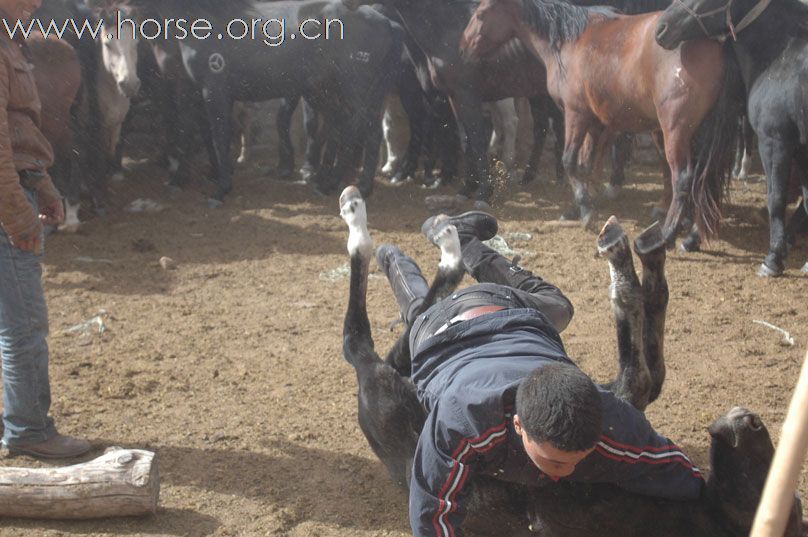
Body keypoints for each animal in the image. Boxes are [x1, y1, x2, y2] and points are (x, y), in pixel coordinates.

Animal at [334, 185, 800, 536]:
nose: (749, 421)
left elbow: (642, 371)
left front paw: (627, 265)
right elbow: (648, 363)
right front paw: (637, 260)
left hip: (393, 385)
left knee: (365, 336)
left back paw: (401, 234)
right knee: (399, 314)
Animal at [458, 0, 740, 248]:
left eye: (480, 13)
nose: (462, 48)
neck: (568, 41)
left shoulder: (575, 115)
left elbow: (569, 161)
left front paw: (585, 212)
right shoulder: (593, 122)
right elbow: (584, 164)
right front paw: (578, 207)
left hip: (675, 131)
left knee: (682, 178)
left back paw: (668, 234)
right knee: (704, 178)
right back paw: (689, 227)